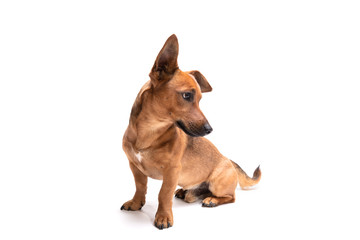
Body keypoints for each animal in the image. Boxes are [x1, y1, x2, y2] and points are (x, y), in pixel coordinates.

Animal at [121, 34, 262, 229]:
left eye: (200, 99)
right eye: (187, 95)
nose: (210, 129)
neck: (150, 132)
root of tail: (228, 160)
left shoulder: (172, 171)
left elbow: (163, 194)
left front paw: (163, 216)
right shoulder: (134, 166)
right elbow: (140, 187)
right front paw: (136, 203)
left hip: (218, 184)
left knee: (230, 197)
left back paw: (212, 200)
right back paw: (187, 192)